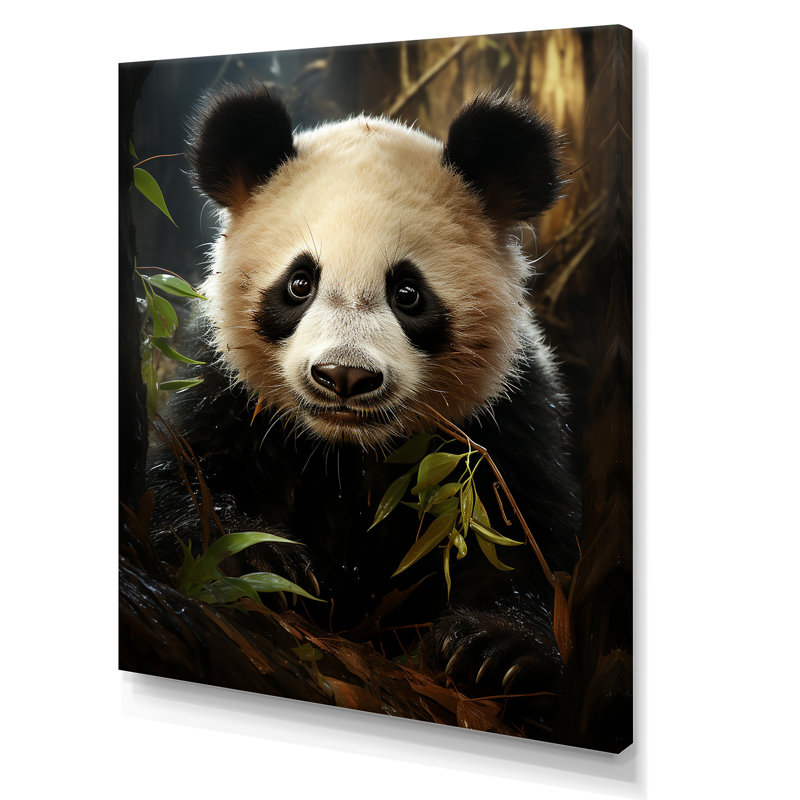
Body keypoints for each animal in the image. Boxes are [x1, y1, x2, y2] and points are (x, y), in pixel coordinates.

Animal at [148, 83, 580, 721]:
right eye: (299, 283)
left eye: (408, 293)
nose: (345, 376)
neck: (347, 450)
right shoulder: (228, 394)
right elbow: (184, 478)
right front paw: (255, 559)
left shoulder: (505, 419)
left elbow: (530, 545)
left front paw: (495, 650)